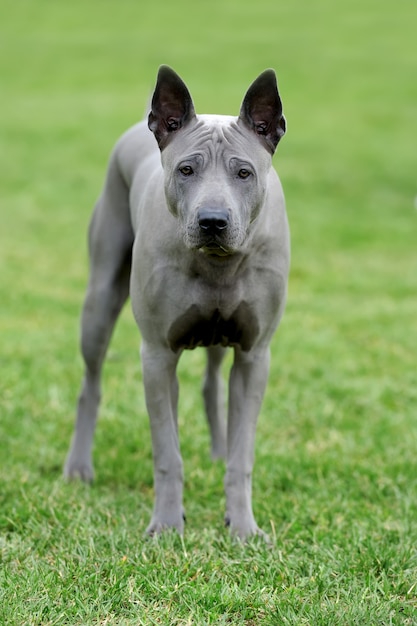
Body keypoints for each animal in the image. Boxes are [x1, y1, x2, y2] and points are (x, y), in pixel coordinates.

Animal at [65, 66, 290, 540]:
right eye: (186, 169)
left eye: (244, 173)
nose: (212, 221)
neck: (217, 263)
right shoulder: (156, 356)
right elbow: (167, 453)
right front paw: (168, 525)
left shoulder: (255, 356)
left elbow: (243, 455)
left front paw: (243, 528)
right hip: (99, 304)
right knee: (91, 384)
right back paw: (78, 467)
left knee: (211, 384)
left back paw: (218, 450)